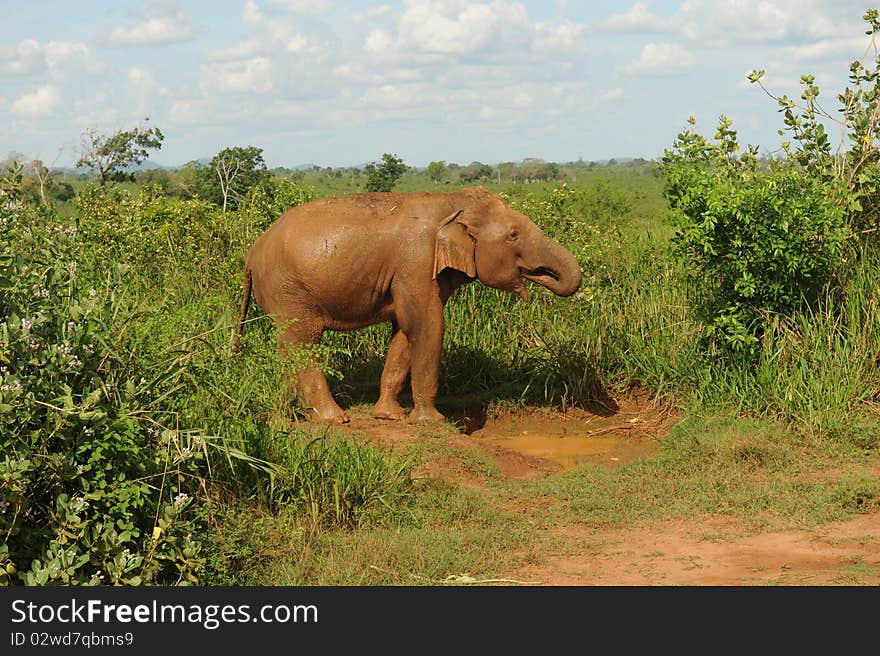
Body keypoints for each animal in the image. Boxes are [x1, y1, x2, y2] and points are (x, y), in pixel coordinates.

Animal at [234, 184, 580, 426]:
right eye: (513, 235)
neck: (450, 202)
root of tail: (251, 253)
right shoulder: (417, 262)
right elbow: (427, 325)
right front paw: (433, 422)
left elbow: (403, 331)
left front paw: (390, 416)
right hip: (288, 291)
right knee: (303, 342)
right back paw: (334, 418)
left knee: (286, 348)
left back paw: (288, 414)